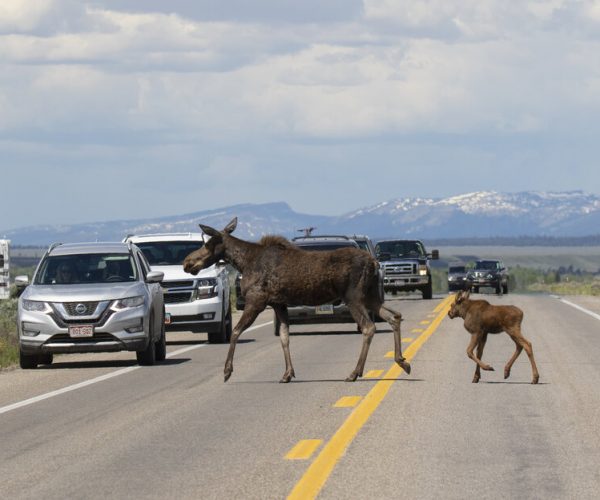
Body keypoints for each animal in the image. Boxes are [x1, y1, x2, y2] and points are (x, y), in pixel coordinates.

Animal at [183, 218, 410, 382]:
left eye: (209, 244)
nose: (187, 262)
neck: (243, 262)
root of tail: (374, 263)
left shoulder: (257, 300)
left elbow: (236, 332)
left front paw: (227, 371)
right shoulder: (278, 303)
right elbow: (284, 337)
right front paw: (287, 373)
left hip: (354, 296)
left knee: (369, 327)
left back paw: (355, 372)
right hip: (370, 296)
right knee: (394, 316)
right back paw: (402, 361)